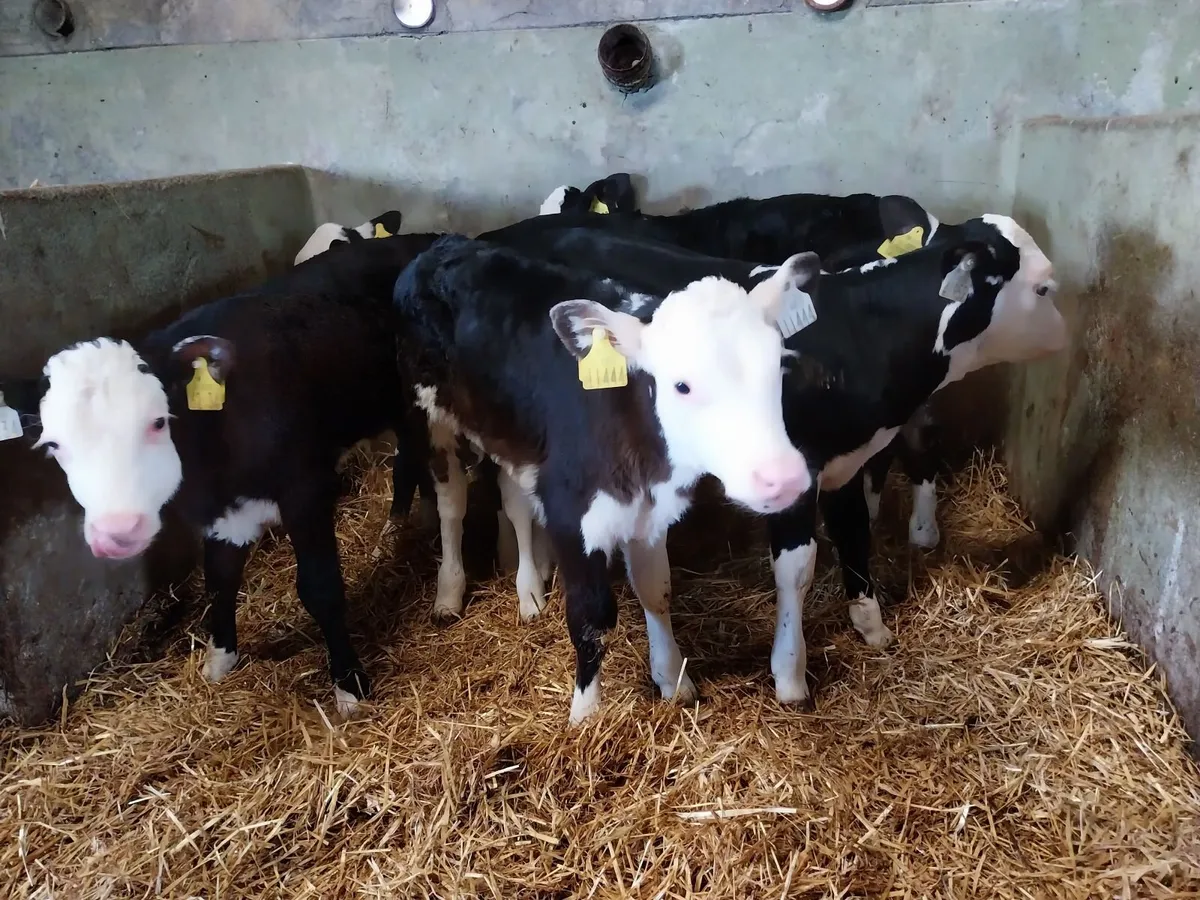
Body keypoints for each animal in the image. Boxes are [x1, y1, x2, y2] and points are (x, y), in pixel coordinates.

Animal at [0, 232, 439, 717]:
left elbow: (320, 587)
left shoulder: (304, 488)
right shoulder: (219, 512)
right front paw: (220, 660)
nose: (118, 530)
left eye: (158, 421)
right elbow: (220, 580)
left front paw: (348, 685)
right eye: (53, 444)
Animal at [392, 234, 814, 723]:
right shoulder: (572, 512)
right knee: (452, 502)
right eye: (682, 385)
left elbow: (656, 590)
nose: (784, 478)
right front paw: (584, 715)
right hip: (427, 414)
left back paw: (529, 590)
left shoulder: (646, 508)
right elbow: (591, 618)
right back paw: (449, 591)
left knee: (514, 501)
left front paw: (673, 680)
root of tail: (443, 245)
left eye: (778, 366)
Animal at [478, 216, 1066, 708]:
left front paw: (871, 625)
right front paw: (790, 675)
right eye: (1043, 288)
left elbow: (855, 535)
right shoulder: (793, 478)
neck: (858, 333)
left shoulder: (842, 464)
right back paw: (530, 588)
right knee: (514, 495)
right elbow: (797, 569)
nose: (1067, 332)